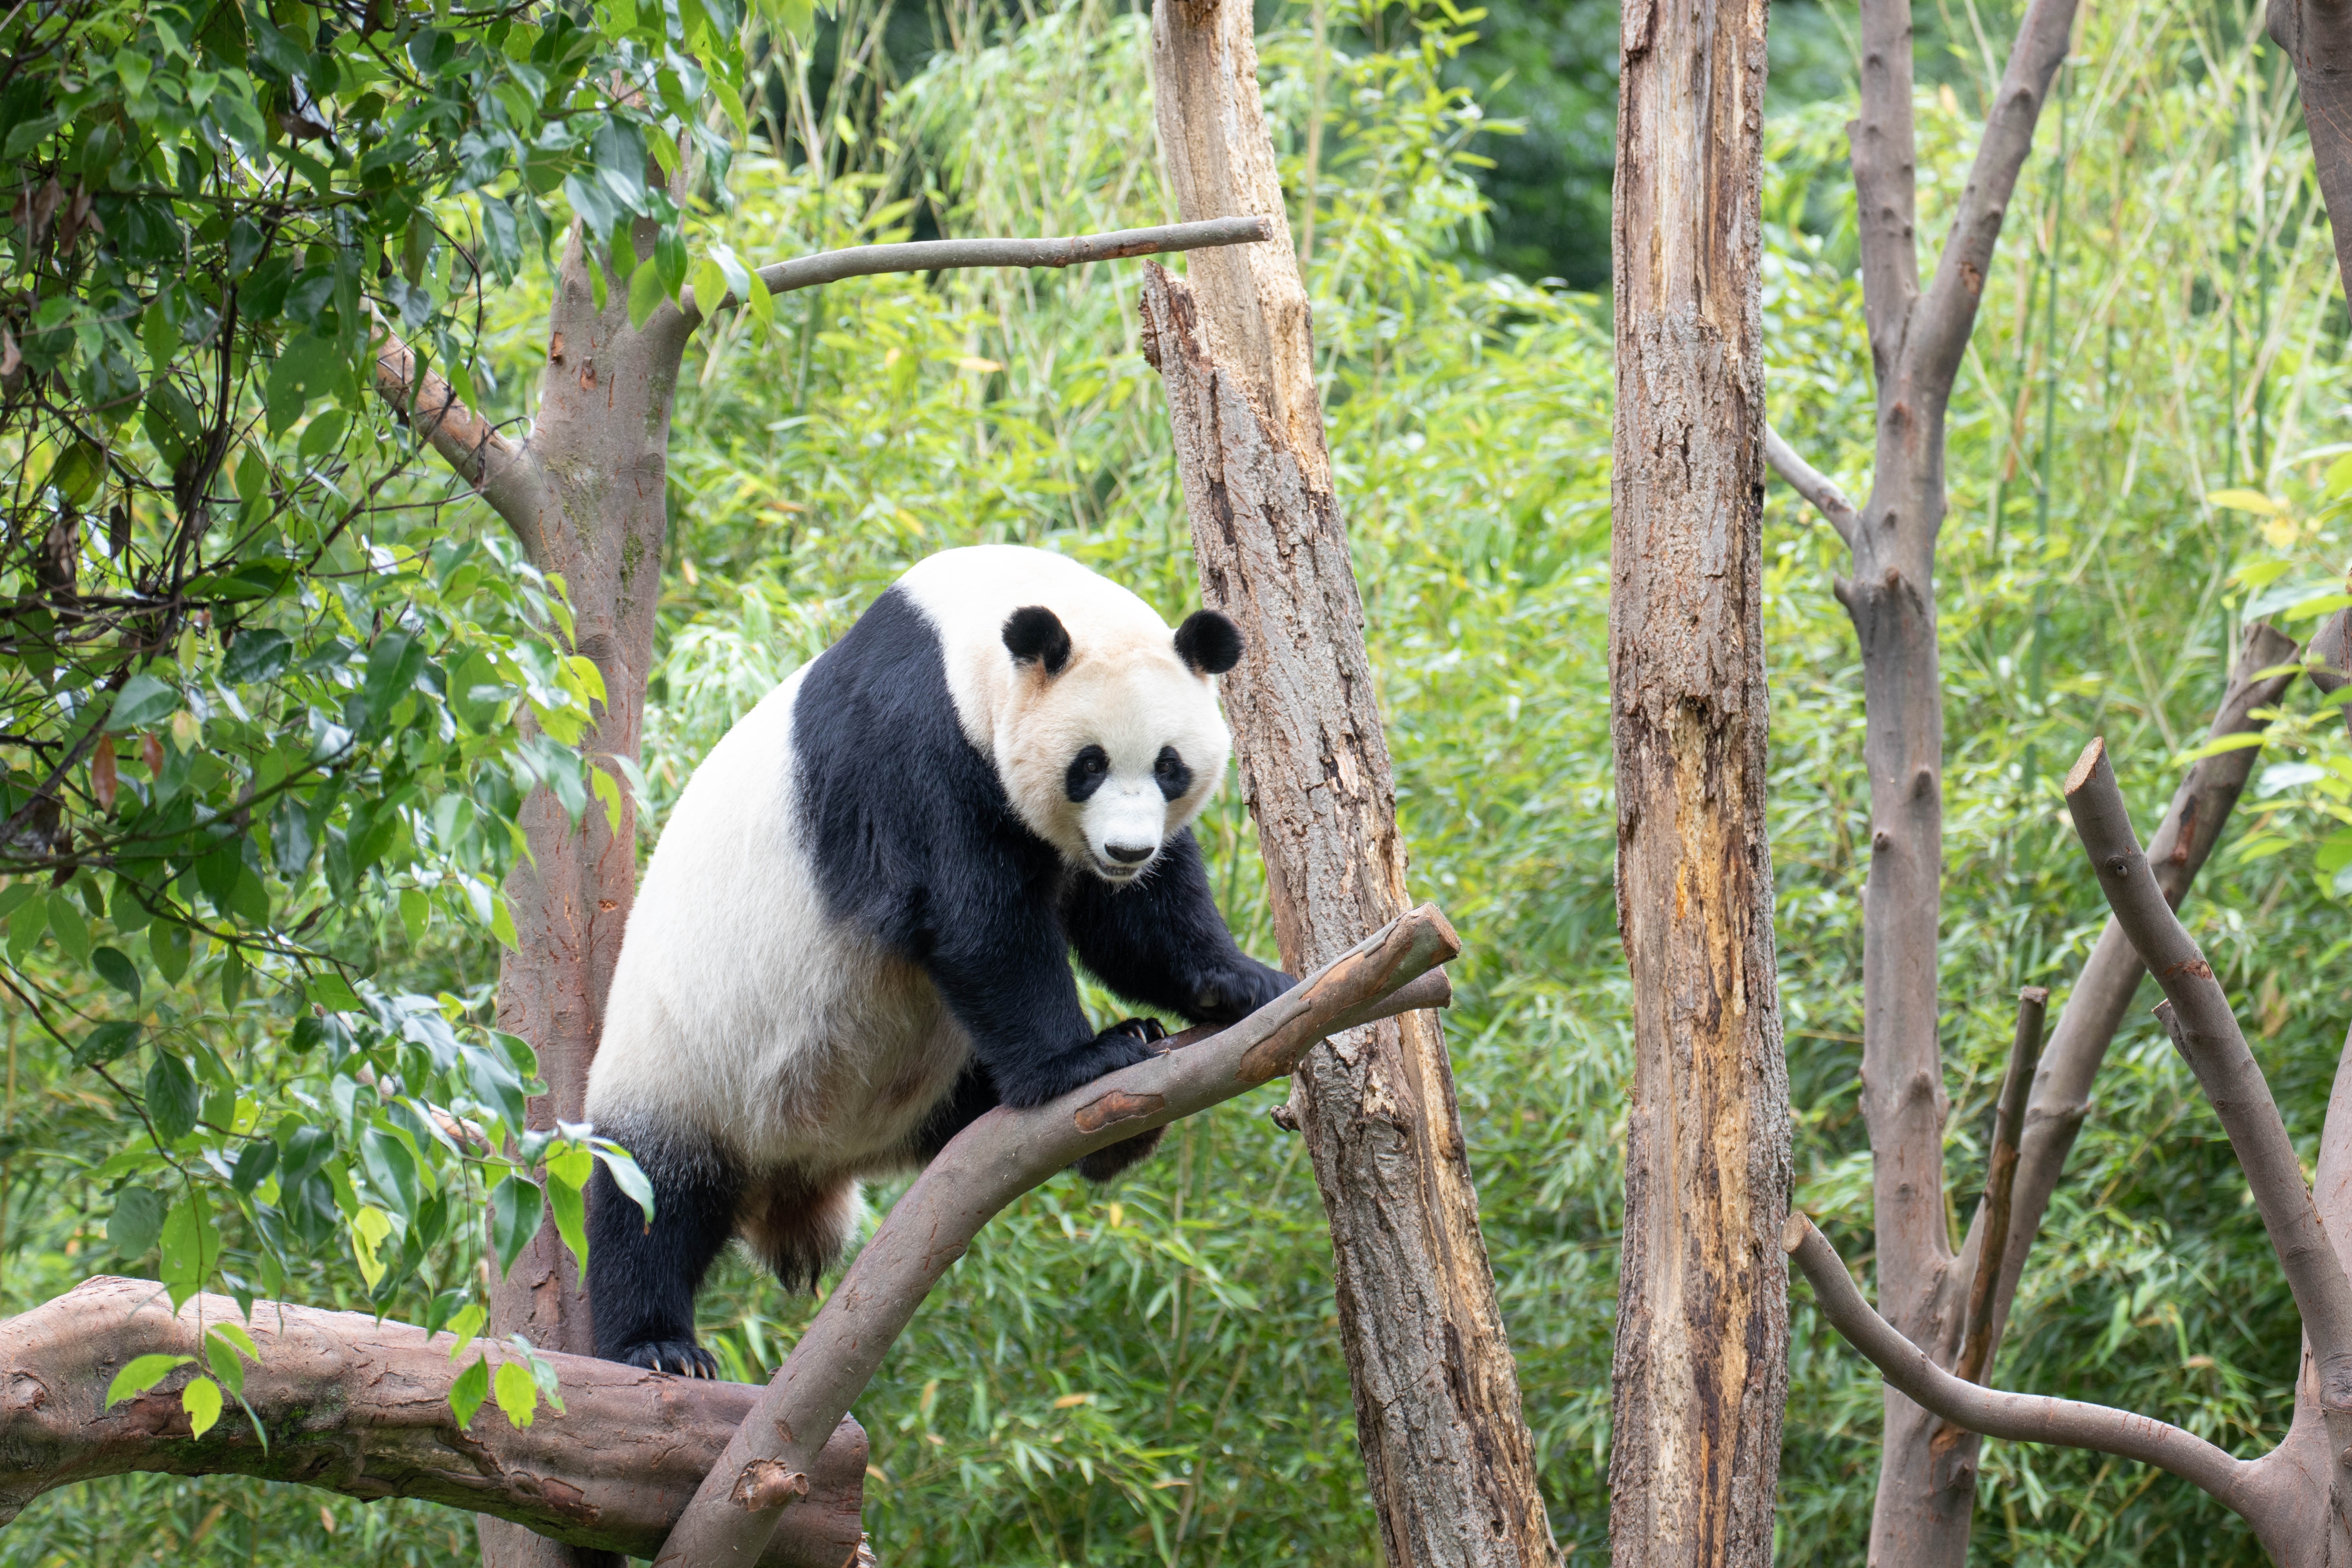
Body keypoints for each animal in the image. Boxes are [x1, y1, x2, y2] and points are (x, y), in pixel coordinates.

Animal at [581, 550, 1298, 1373]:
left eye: (1169, 767)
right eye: (1087, 765)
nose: (1127, 850)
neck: (966, 632)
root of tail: (804, 1169)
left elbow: (1134, 919)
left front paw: (1240, 983)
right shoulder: (914, 748)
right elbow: (976, 921)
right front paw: (1086, 1058)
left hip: (924, 1079)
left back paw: (1116, 1132)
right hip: (686, 1074)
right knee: (649, 1203)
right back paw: (657, 1347)